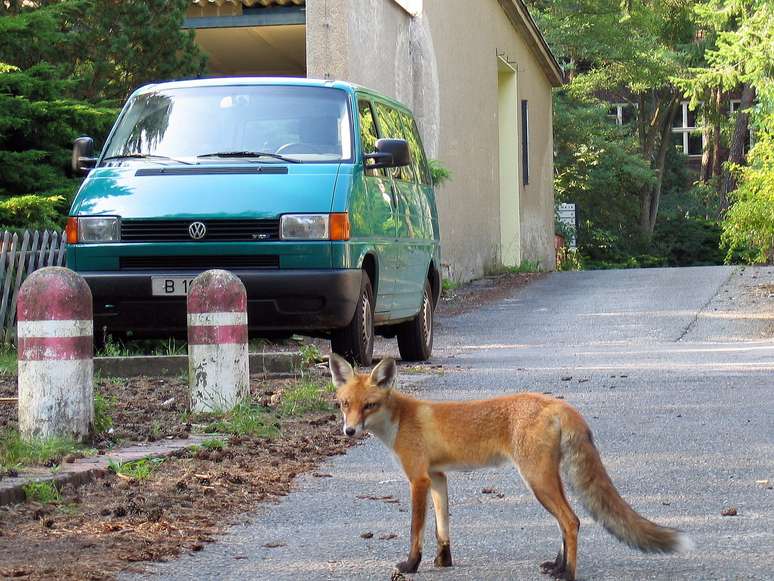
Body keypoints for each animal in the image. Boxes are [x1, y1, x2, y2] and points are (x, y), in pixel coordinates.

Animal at [330, 352, 696, 576]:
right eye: (344, 404)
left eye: (369, 406)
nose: (349, 431)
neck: (401, 420)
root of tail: (559, 405)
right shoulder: (437, 477)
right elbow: (442, 529)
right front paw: (443, 561)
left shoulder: (417, 478)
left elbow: (415, 530)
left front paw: (410, 565)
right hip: (547, 479)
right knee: (567, 522)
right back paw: (557, 566)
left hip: (536, 479)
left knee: (572, 521)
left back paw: (568, 574)